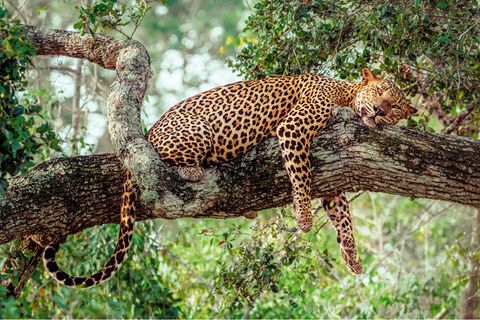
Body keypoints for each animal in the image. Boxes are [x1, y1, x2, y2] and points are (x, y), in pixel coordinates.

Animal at [42, 67, 416, 288]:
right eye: (379, 92)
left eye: (396, 105)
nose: (379, 111)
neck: (346, 94)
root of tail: (147, 133)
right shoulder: (294, 127)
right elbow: (301, 175)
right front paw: (304, 217)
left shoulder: (335, 170)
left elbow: (342, 215)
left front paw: (351, 255)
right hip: (198, 131)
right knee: (167, 160)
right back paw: (192, 168)